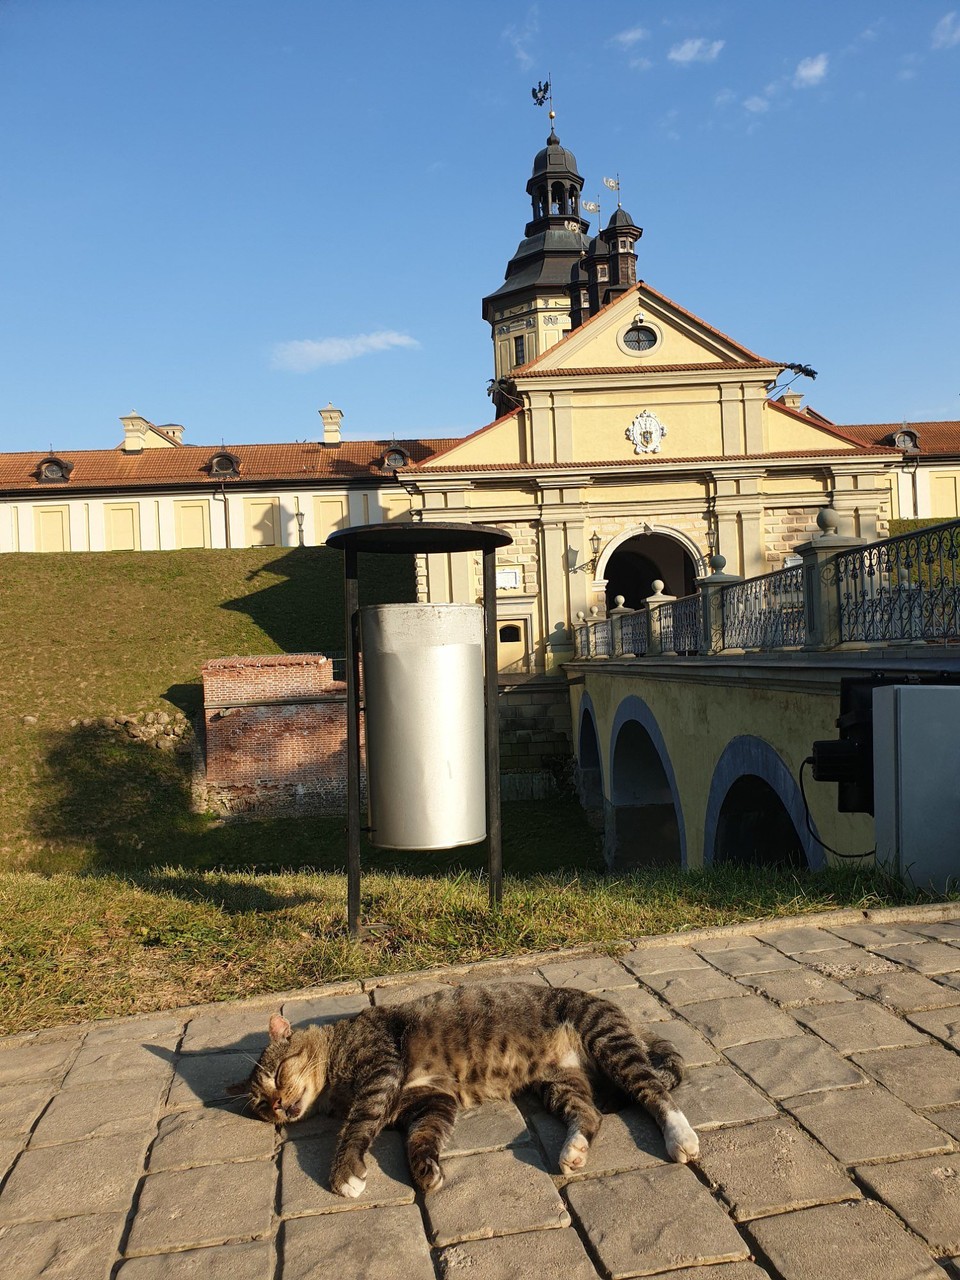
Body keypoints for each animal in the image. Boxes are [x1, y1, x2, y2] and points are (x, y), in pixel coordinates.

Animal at [232, 977, 701, 1198]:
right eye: (261, 1105)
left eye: (277, 1076)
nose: (278, 1105)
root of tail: (622, 1011)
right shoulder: (433, 1101)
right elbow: (422, 1137)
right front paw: (426, 1170)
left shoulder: (381, 1072)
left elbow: (357, 1124)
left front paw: (344, 1173)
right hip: (557, 1083)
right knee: (590, 1114)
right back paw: (574, 1150)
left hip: (607, 1041)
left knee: (656, 1093)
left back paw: (682, 1137)